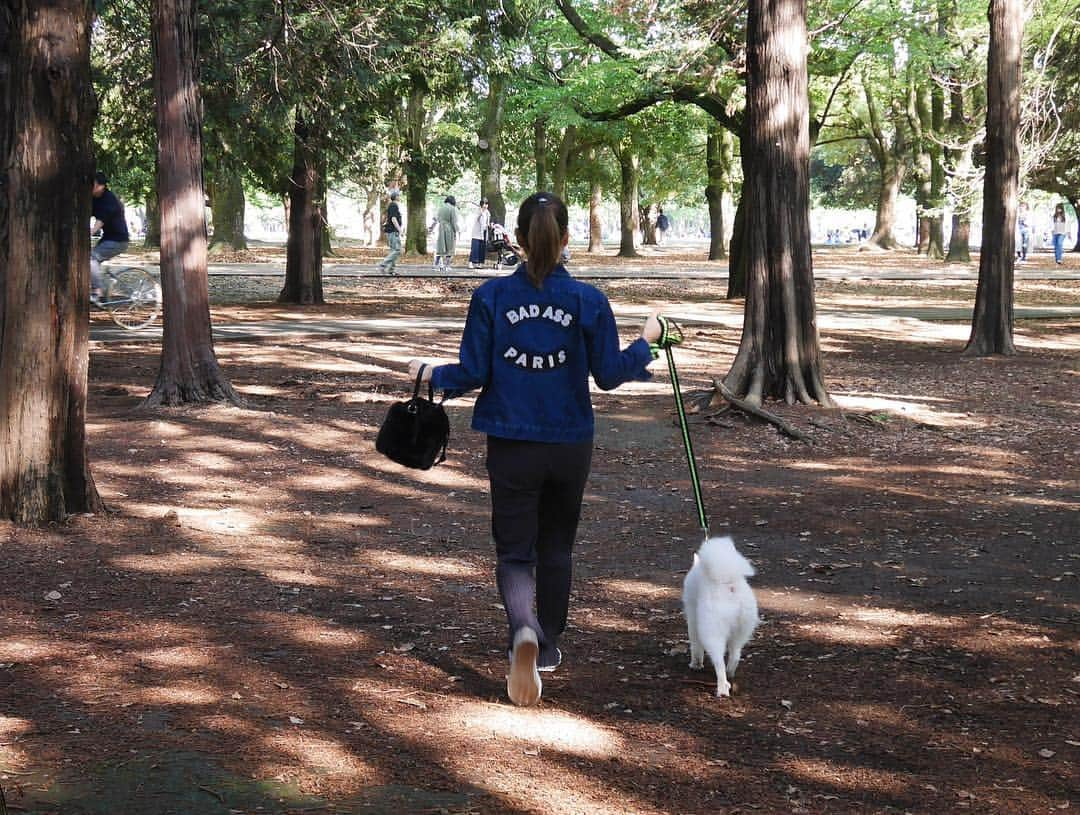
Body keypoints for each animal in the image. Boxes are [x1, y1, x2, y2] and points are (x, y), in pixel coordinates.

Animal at [682, 535, 760, 695]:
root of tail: (729, 584)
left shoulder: (692, 619)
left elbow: (695, 646)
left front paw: (695, 664)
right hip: (742, 631)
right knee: (735, 655)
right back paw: (730, 673)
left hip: (712, 631)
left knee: (719, 663)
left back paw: (722, 689)